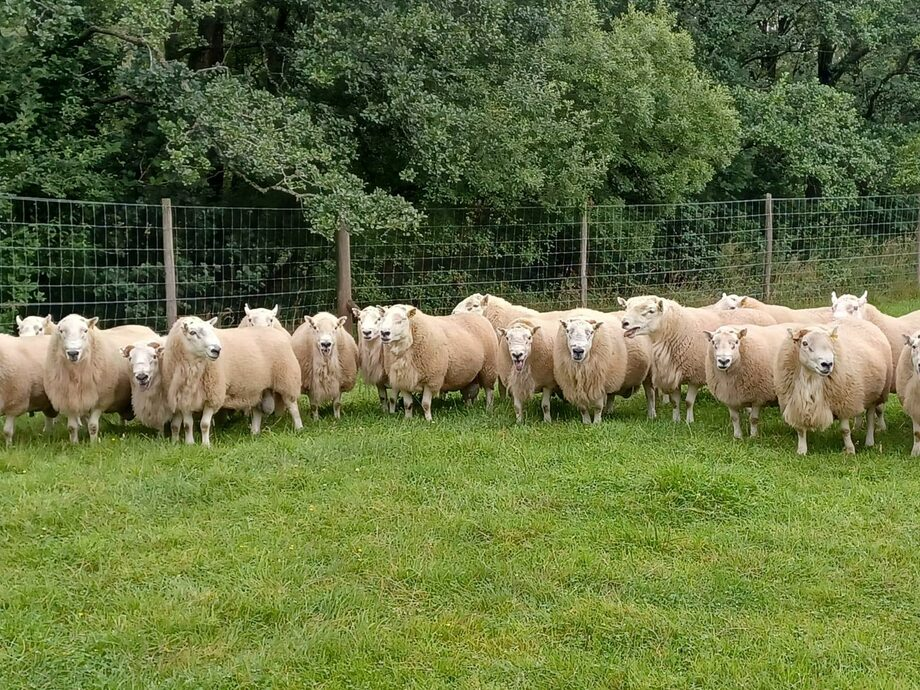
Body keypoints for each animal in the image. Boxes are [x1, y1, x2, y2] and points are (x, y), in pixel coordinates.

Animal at [161, 316, 303, 446]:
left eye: (211, 330)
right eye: (192, 332)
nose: (216, 350)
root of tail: (276, 331)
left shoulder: (213, 396)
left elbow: (204, 424)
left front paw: (205, 445)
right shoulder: (184, 399)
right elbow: (187, 424)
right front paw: (189, 444)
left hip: (287, 379)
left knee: (292, 406)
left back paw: (299, 428)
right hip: (258, 387)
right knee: (258, 410)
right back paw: (254, 432)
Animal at [618, 296, 776, 423]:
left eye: (651, 311)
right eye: (626, 307)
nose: (624, 323)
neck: (677, 330)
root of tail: (763, 313)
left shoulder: (695, 375)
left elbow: (688, 402)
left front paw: (689, 421)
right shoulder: (674, 373)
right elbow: (675, 402)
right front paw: (676, 420)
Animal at [774, 320, 890, 455]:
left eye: (830, 343)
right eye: (805, 343)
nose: (827, 364)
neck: (810, 378)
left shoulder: (843, 402)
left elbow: (844, 430)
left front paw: (850, 450)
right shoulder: (797, 404)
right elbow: (800, 430)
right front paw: (801, 451)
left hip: (874, 394)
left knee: (870, 417)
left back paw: (869, 442)